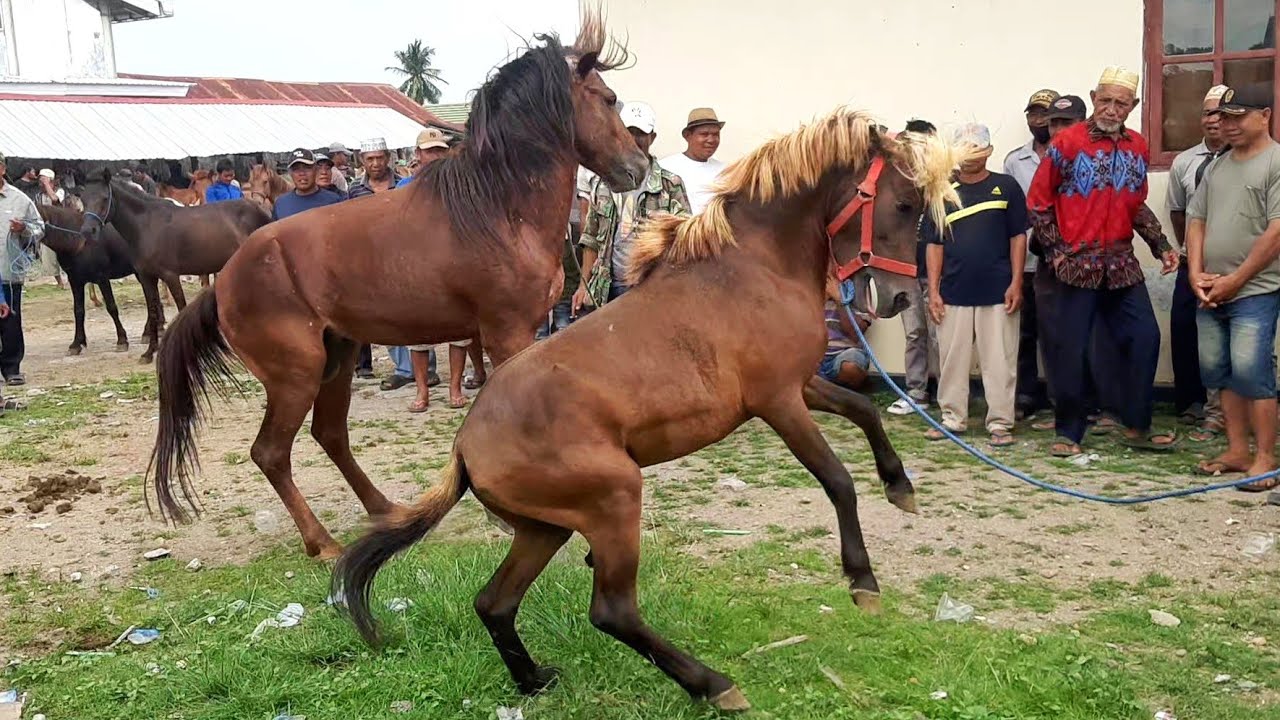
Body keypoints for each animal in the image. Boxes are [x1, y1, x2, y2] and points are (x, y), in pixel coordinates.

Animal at [36, 205, 135, 355]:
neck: (78, 241)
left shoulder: (102, 278)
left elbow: (111, 307)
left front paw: (122, 340)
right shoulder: (75, 281)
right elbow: (78, 311)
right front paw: (76, 343)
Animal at [78, 173, 272, 363]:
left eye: (104, 198)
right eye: (84, 199)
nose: (88, 231)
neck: (147, 225)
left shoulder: (170, 275)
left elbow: (181, 308)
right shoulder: (147, 277)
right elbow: (153, 311)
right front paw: (149, 352)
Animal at [146, 10, 650, 556]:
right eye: (608, 99)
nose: (639, 167)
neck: (498, 209)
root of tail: (226, 281)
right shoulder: (508, 333)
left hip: (338, 358)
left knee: (330, 435)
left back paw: (385, 509)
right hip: (294, 376)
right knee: (271, 453)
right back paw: (323, 543)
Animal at [332, 110, 971, 711]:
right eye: (904, 203)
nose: (899, 298)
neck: (754, 266)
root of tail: (466, 448)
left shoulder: (803, 384)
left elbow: (864, 409)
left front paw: (901, 488)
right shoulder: (778, 401)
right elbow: (837, 480)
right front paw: (863, 581)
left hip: (545, 528)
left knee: (494, 603)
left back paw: (535, 680)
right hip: (615, 499)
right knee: (611, 611)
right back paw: (713, 684)